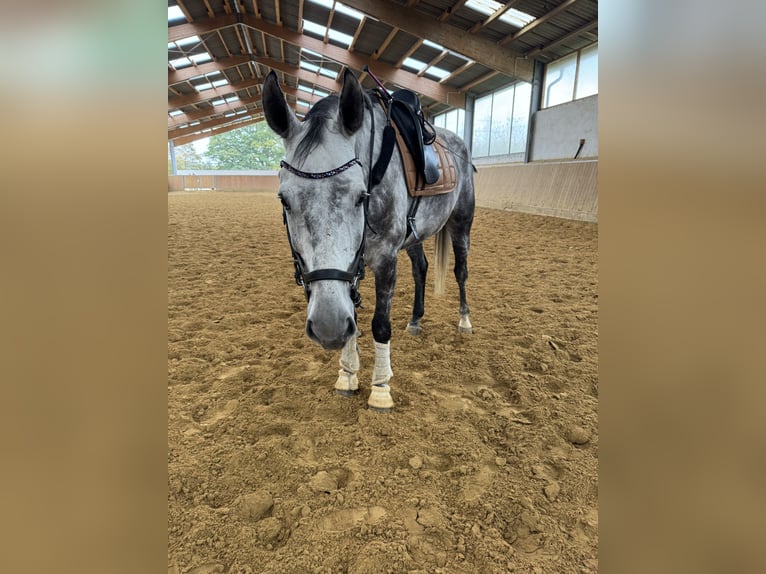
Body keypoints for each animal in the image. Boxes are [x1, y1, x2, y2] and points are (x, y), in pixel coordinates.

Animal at [261, 69, 475, 412]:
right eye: (284, 200)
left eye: (361, 196)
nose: (328, 327)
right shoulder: (353, 266)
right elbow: (355, 320)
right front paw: (347, 374)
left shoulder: (386, 260)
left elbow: (379, 324)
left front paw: (381, 388)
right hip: (415, 236)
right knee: (421, 268)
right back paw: (415, 321)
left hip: (462, 222)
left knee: (460, 271)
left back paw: (465, 322)